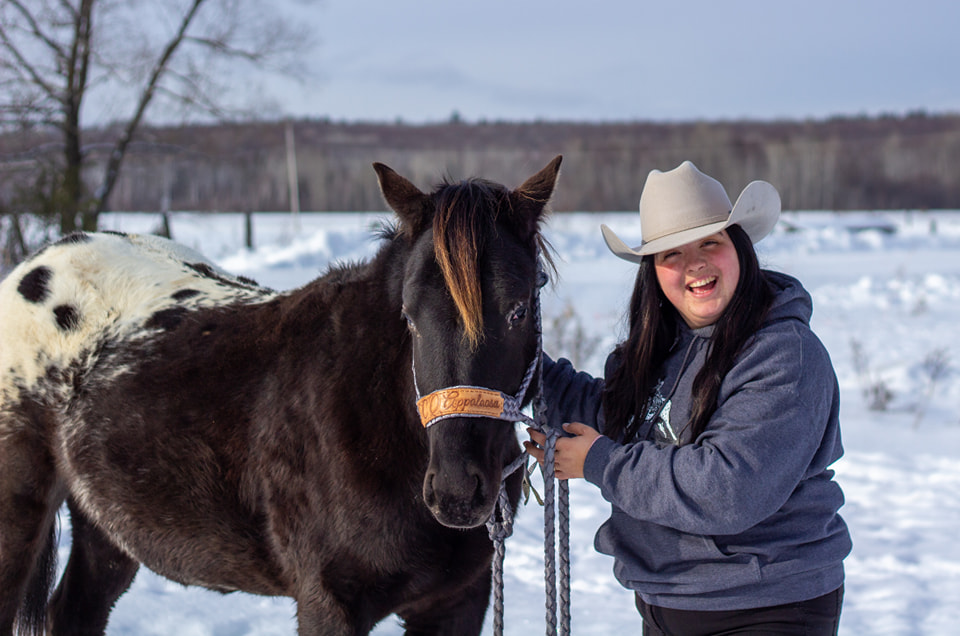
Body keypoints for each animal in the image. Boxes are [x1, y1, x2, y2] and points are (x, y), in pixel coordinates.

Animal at [0, 156, 562, 635]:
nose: (457, 493)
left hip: (106, 527)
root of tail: (33, 267)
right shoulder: (329, 603)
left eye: (518, 310)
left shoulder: (455, 603)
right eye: (409, 315)